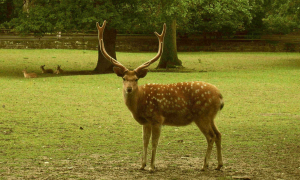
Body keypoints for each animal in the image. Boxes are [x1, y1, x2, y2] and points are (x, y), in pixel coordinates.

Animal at [97, 20, 224, 172]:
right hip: (211, 116)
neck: (139, 103)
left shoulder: (157, 118)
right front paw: (142, 165)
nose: (129, 89)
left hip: (202, 115)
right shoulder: (146, 122)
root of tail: (220, 96)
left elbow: (154, 142)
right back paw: (219, 165)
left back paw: (204, 165)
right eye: (124, 78)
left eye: (136, 79)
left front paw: (152, 166)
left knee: (211, 136)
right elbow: (144, 142)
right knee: (218, 134)